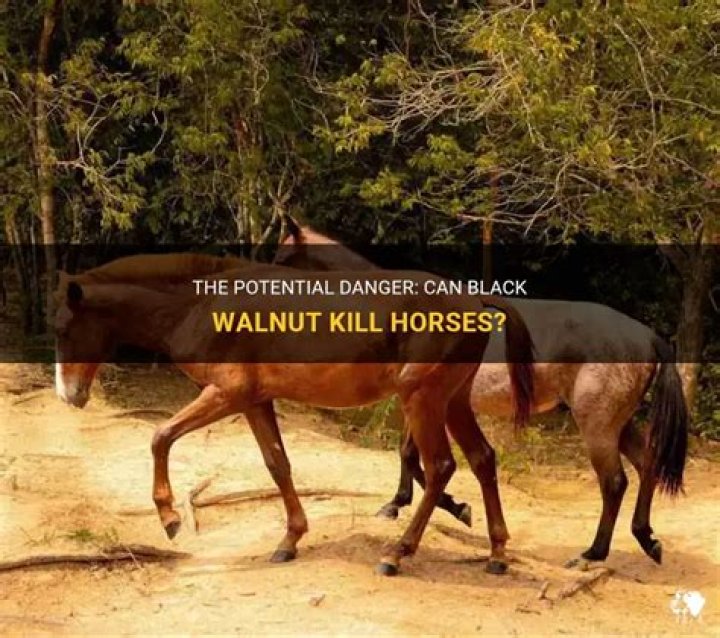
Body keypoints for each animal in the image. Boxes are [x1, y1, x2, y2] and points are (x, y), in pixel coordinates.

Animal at [54, 253, 535, 575]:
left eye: (63, 329)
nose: (68, 395)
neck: (199, 307)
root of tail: (475, 301)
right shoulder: (255, 402)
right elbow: (277, 464)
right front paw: (290, 540)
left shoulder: (226, 395)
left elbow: (161, 436)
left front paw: (170, 517)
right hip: (452, 402)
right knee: (482, 460)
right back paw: (496, 553)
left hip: (423, 401)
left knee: (440, 468)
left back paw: (396, 554)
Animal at [274, 218, 689, 568]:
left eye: (281, 259)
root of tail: (648, 336)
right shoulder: (426, 404)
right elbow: (410, 455)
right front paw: (405, 504)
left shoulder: (424, 402)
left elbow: (416, 460)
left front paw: (449, 508)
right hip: (619, 423)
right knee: (647, 464)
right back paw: (646, 539)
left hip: (596, 425)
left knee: (614, 482)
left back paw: (593, 553)